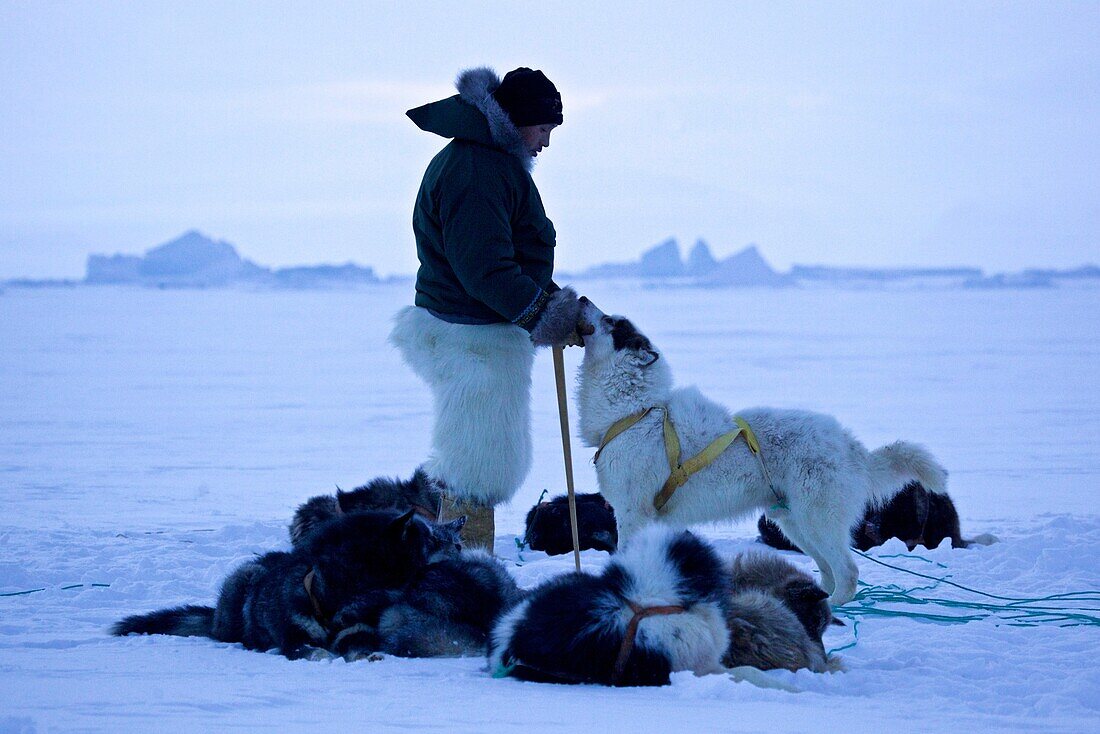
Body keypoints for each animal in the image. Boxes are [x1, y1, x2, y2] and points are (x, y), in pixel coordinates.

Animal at [111, 510, 435, 660]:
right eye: (426, 539)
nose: (442, 536)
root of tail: (214, 617)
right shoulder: (293, 639)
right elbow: (310, 649)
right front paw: (323, 655)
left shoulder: (356, 631)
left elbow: (359, 646)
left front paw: (369, 656)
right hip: (243, 579)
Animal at [572, 299, 950, 607]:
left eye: (611, 321)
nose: (582, 297)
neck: (636, 411)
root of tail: (852, 448)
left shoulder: (633, 511)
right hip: (796, 524)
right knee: (827, 570)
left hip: (817, 520)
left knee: (847, 570)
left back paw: (835, 606)